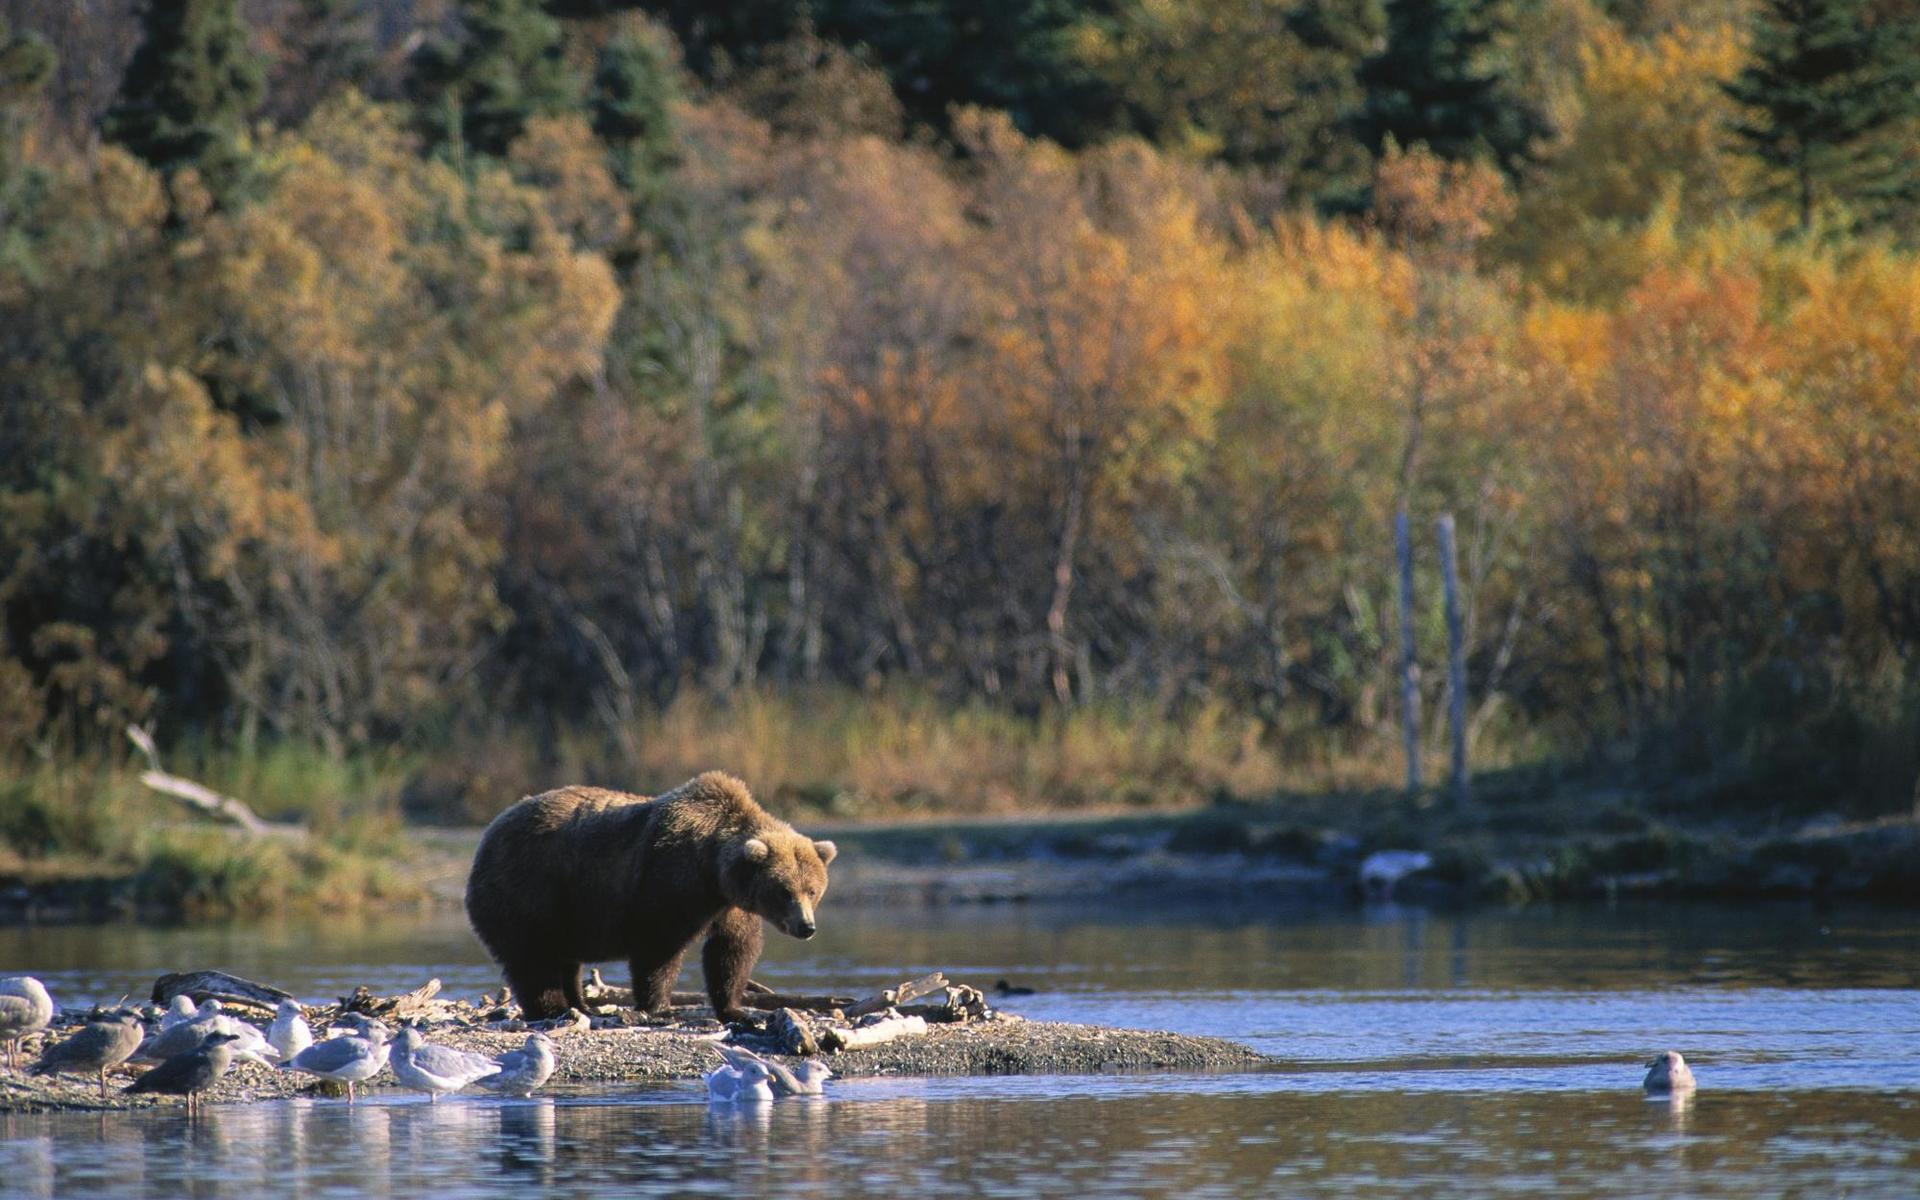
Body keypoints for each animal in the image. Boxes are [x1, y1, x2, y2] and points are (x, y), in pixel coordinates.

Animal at [462, 768, 833, 1021]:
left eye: (812, 890)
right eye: (784, 891)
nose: (806, 927)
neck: (714, 868)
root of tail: (488, 834)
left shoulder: (730, 904)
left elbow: (733, 950)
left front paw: (735, 1009)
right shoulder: (668, 879)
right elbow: (659, 947)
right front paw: (659, 1006)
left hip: (566, 908)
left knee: (564, 958)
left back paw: (581, 1004)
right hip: (529, 887)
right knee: (533, 956)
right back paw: (553, 1008)